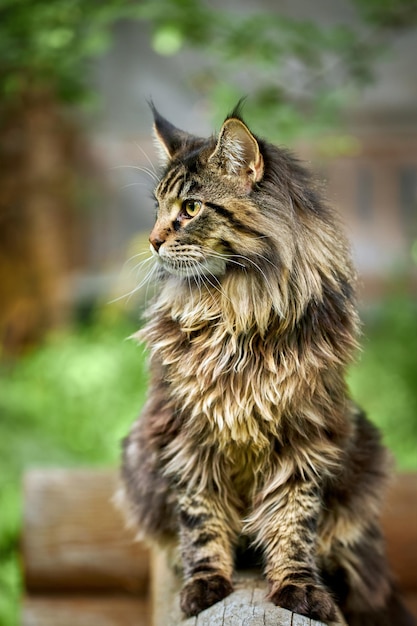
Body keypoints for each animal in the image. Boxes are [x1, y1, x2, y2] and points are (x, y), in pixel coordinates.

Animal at [118, 103, 414, 624]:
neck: (237, 309)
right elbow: (201, 522)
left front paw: (299, 589)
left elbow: (293, 524)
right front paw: (205, 586)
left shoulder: (304, 436)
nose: (152, 240)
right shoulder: (187, 436)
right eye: (157, 208)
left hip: (366, 455)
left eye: (190, 209)